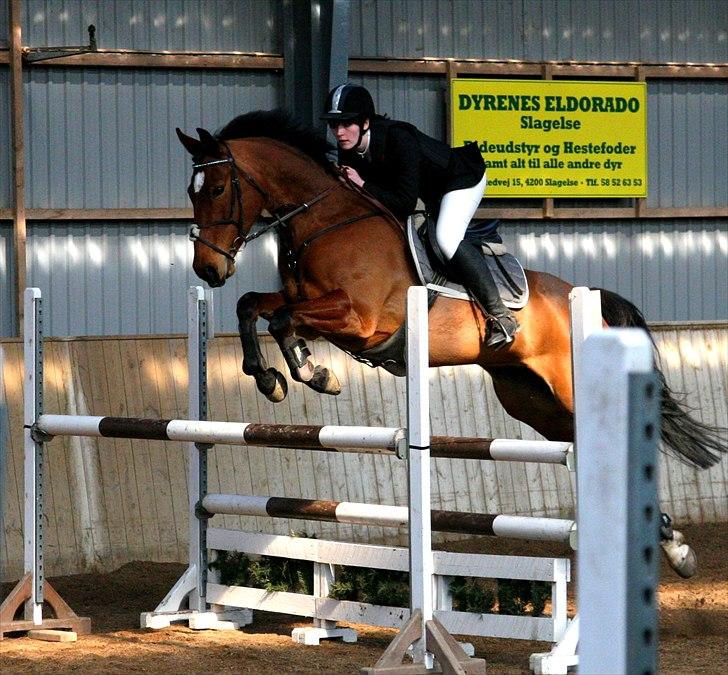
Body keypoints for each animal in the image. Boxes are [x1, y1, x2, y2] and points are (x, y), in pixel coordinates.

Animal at [175, 109, 724, 576]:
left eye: (219, 187)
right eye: (191, 190)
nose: (208, 270)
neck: (325, 222)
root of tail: (584, 298)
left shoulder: (359, 319)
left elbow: (284, 319)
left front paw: (310, 373)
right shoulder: (308, 305)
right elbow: (255, 307)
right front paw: (279, 376)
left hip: (568, 388)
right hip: (532, 401)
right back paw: (673, 546)